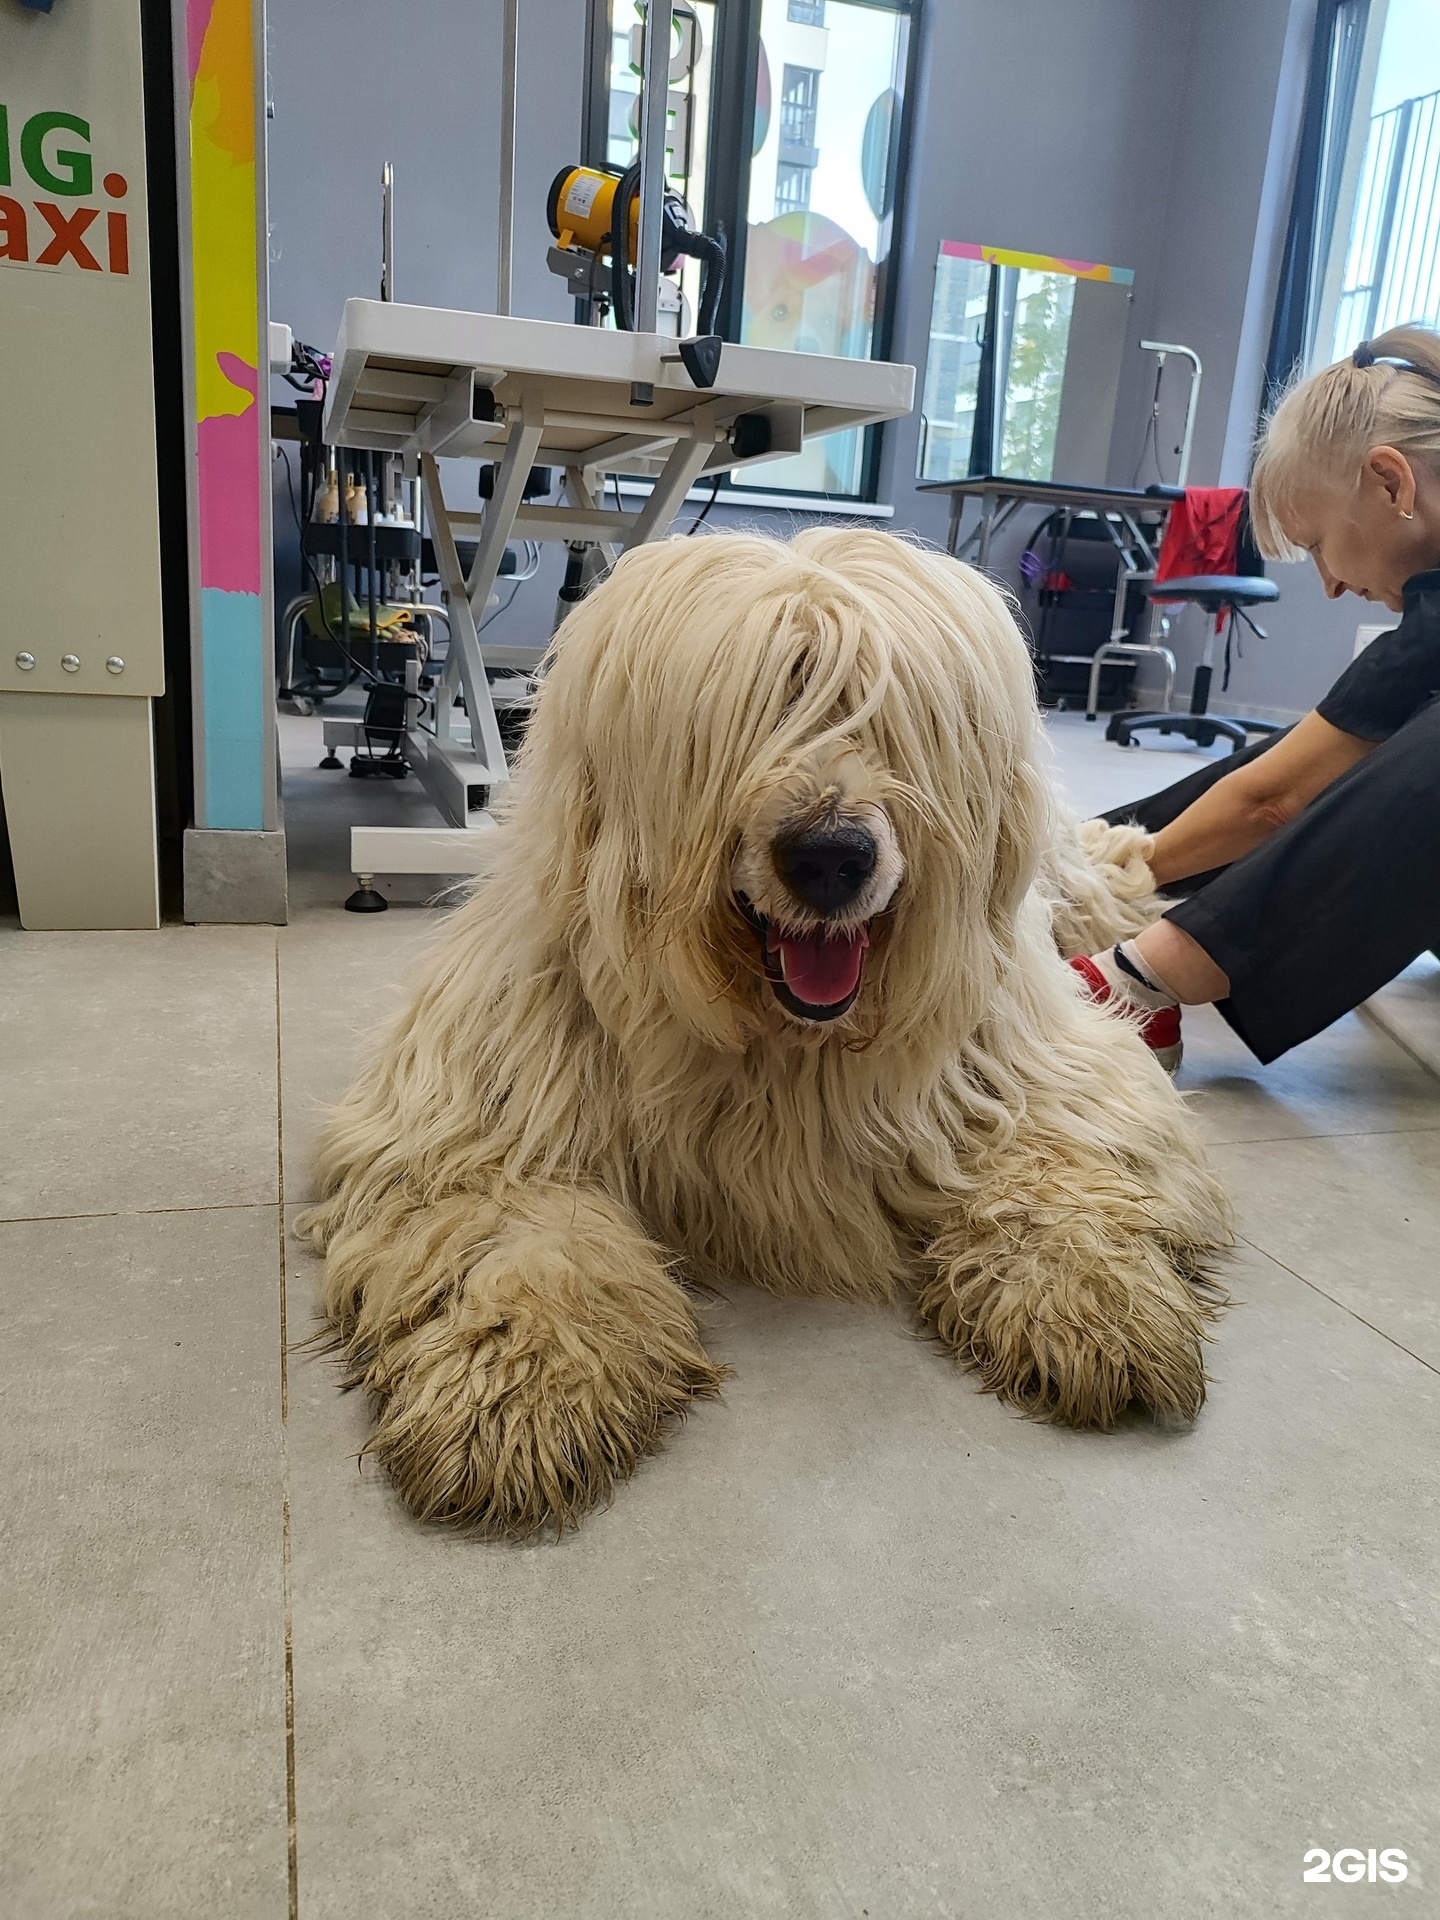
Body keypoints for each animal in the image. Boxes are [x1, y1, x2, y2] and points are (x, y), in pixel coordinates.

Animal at [301, 533, 1228, 1536]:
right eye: (749, 712)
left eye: (884, 711)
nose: (829, 858)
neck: (783, 1039)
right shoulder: (475, 1109)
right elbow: (509, 1223)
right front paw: (523, 1384)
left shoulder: (1047, 1067)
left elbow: (1058, 1164)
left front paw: (1088, 1295)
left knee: (1107, 864)